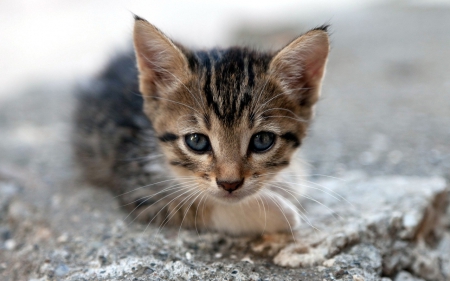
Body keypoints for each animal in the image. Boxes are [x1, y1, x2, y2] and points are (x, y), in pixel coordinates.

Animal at [73, 16, 326, 235]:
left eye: (262, 140)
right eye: (197, 141)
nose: (229, 184)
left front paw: (285, 181)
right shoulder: (138, 186)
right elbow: (200, 206)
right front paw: (277, 213)